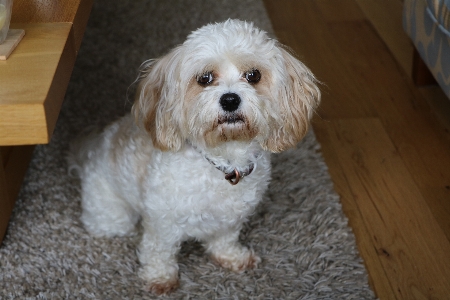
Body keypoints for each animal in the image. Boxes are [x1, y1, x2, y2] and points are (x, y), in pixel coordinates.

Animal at [67, 19, 320, 296]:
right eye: (204, 78)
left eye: (254, 75)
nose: (230, 99)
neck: (223, 160)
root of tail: (89, 153)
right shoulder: (162, 223)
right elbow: (159, 251)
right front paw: (160, 278)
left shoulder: (231, 218)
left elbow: (225, 239)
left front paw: (232, 257)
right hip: (113, 218)